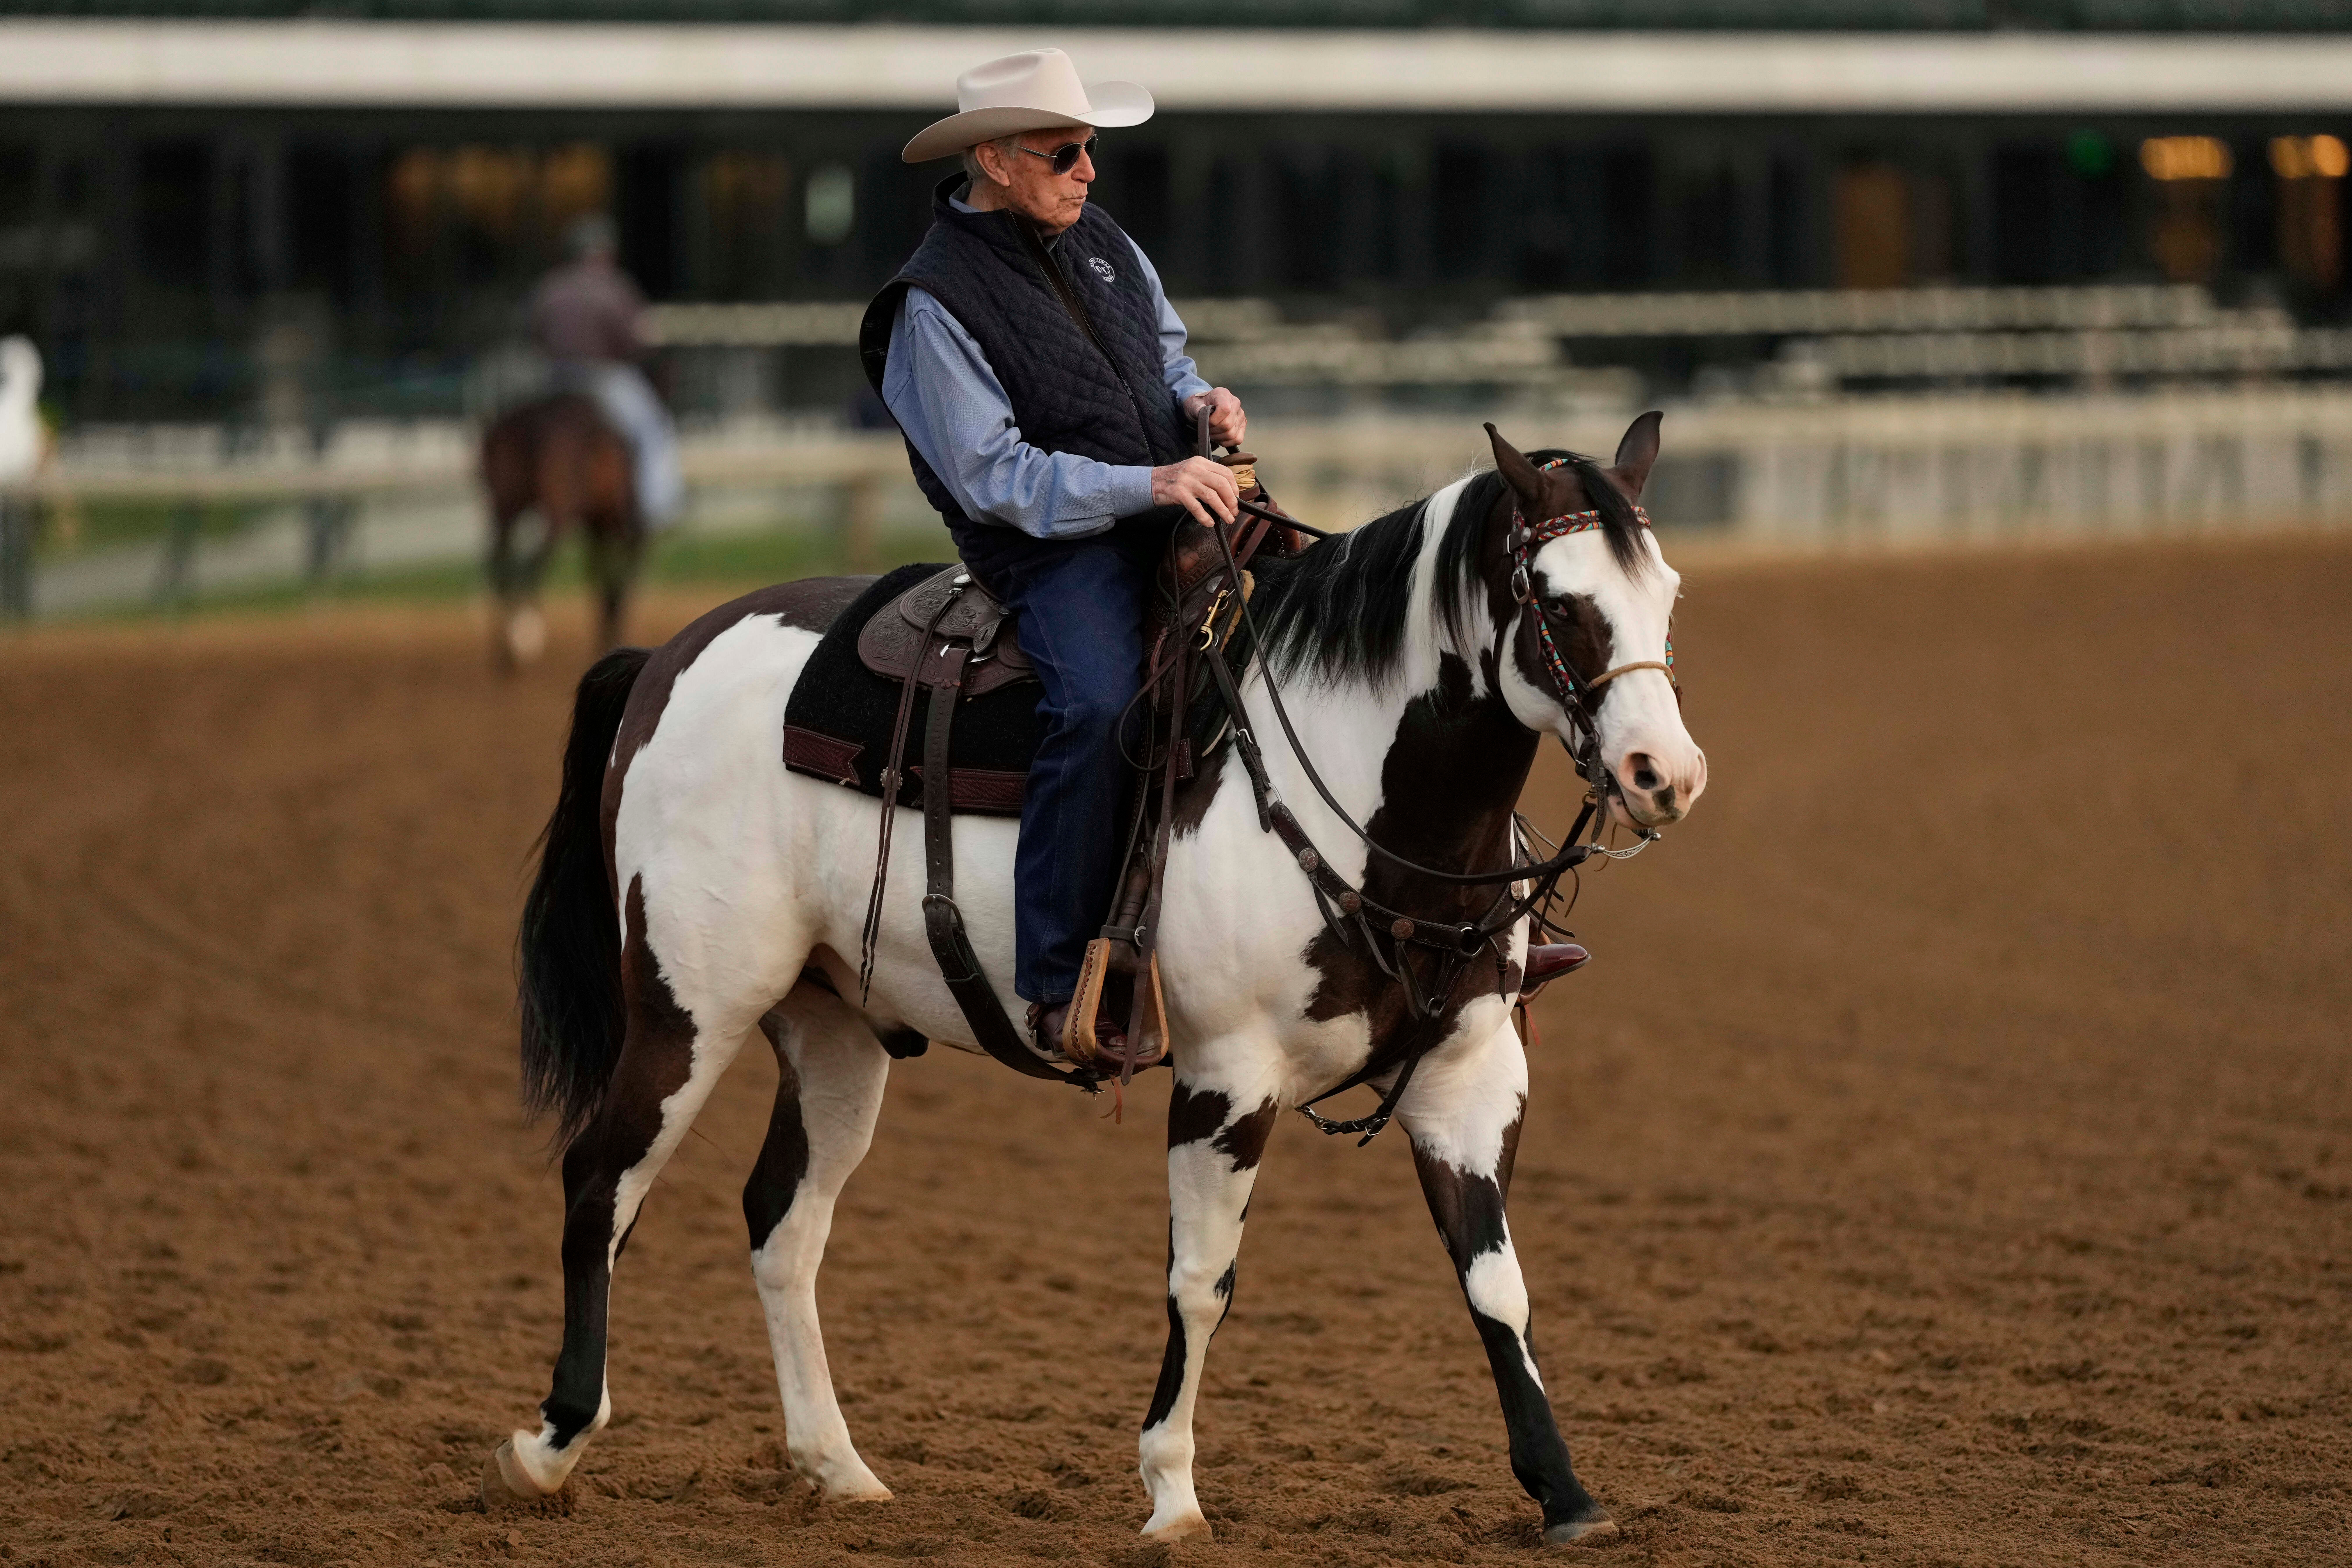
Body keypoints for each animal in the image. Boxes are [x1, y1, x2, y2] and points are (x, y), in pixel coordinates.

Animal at [480, 392, 643, 669]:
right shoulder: (609, 520)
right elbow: (608, 578)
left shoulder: (595, 525)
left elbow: (597, 575)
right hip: (557, 512)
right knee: (533, 565)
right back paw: (524, 637)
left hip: (504, 508)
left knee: (500, 565)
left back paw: (504, 650)